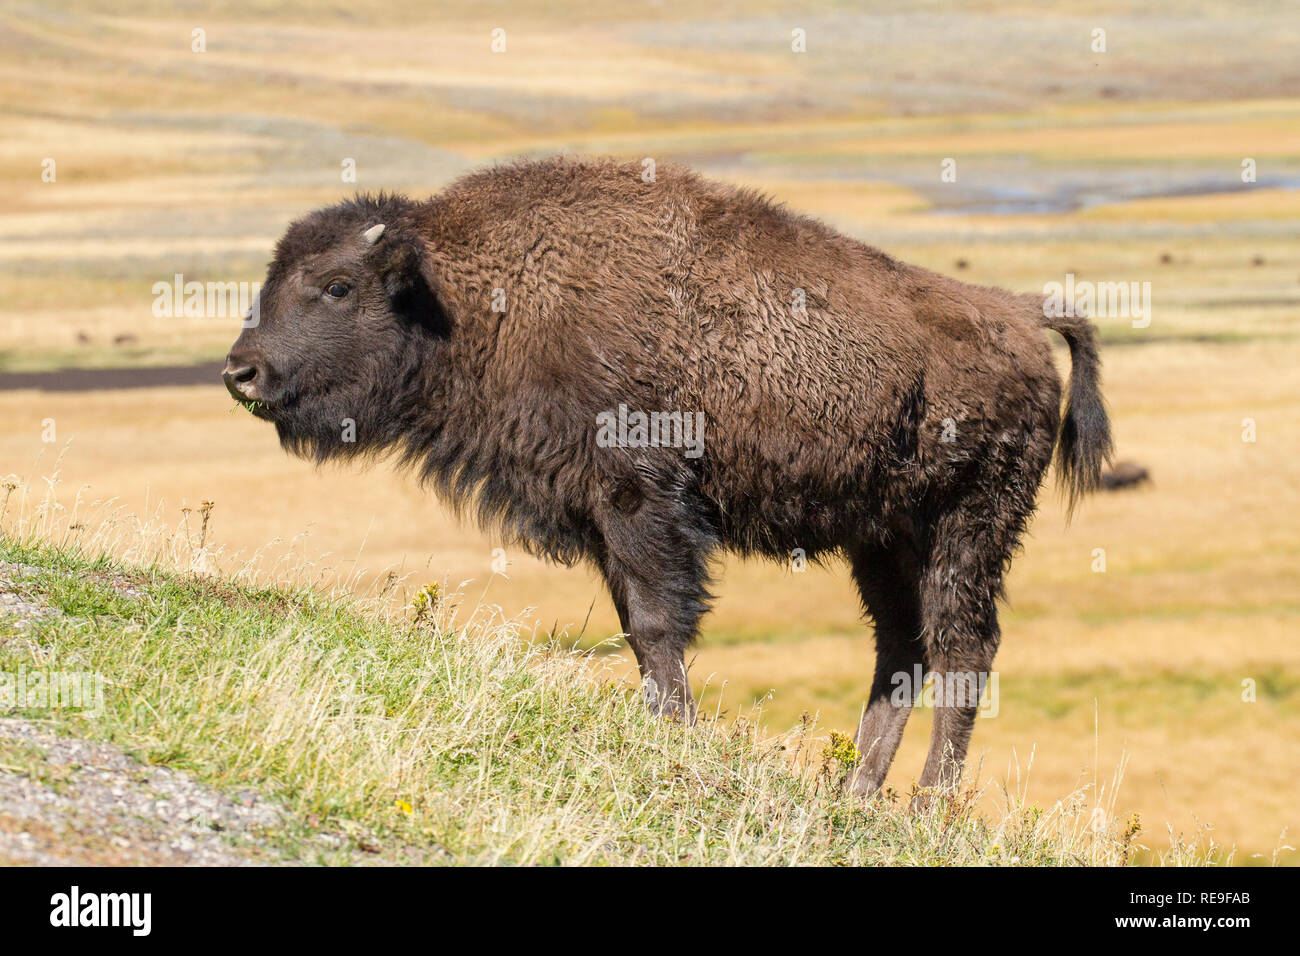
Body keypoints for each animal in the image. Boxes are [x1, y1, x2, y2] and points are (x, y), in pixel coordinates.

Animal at [220, 157, 1107, 801]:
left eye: (337, 286)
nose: (241, 372)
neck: (475, 293)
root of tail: (1021, 315)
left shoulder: (641, 503)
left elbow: (656, 624)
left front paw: (677, 736)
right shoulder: (603, 517)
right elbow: (638, 631)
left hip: (970, 526)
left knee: (964, 648)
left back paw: (930, 807)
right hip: (883, 539)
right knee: (902, 649)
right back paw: (856, 797)